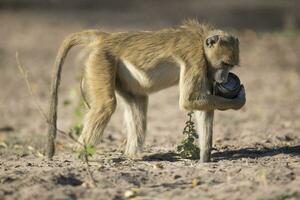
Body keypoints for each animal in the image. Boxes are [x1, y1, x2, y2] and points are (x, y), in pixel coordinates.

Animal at [46, 19, 244, 162]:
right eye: (225, 64)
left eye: (231, 66)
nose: (224, 79)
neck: (201, 42)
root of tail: (107, 37)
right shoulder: (195, 59)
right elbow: (188, 101)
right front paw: (238, 101)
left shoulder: (207, 71)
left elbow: (203, 108)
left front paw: (205, 157)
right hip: (101, 60)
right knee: (106, 106)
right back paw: (81, 156)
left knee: (138, 103)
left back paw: (131, 156)